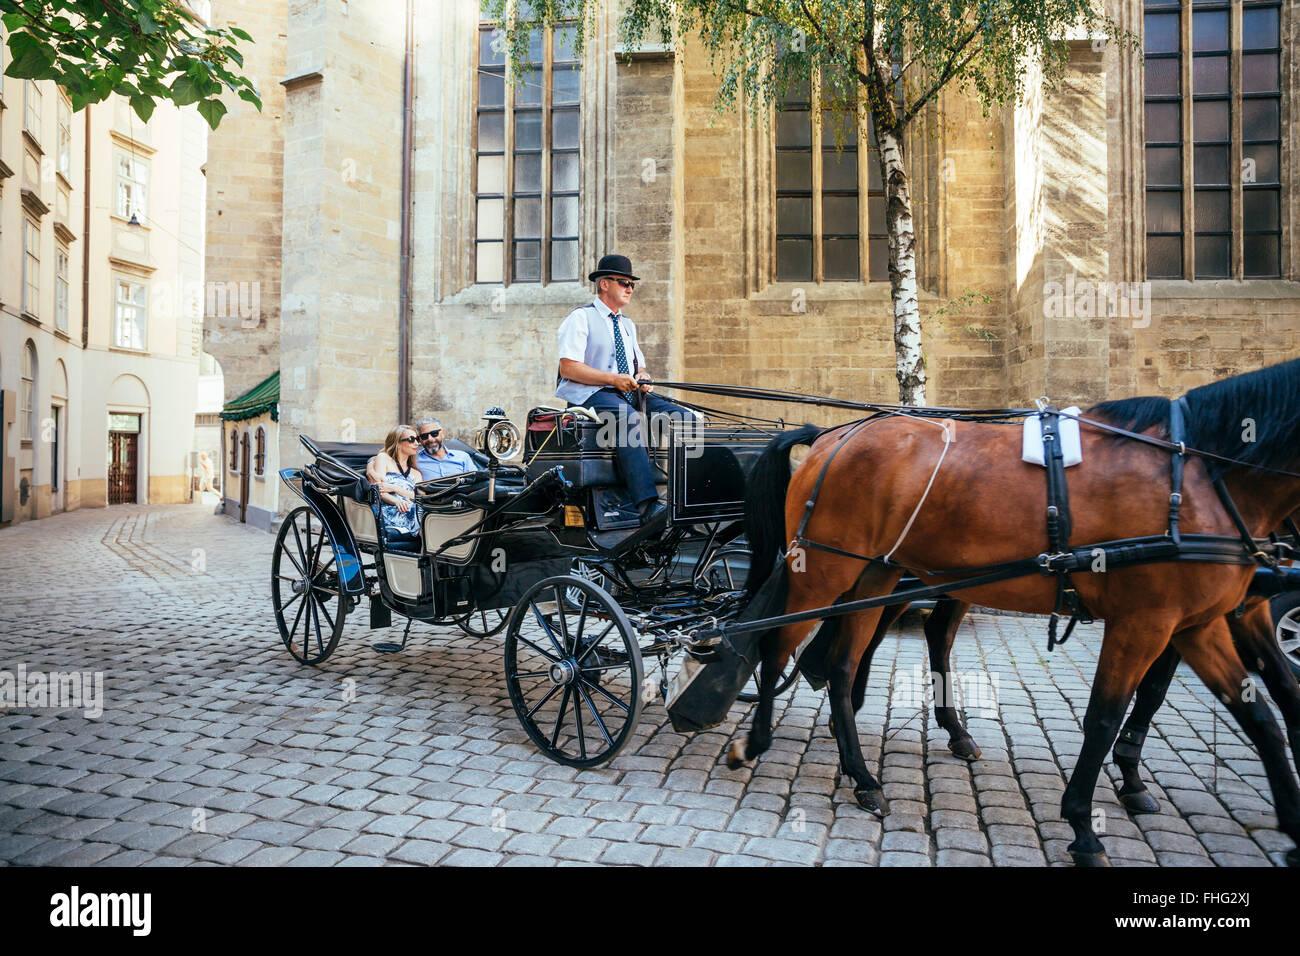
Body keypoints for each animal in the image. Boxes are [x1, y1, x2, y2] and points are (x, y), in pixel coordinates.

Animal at [738, 361, 1300, 868]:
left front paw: (1291, 823)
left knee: (845, 662)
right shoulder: (1147, 621)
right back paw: (758, 740)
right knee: (777, 644)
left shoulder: (1201, 622)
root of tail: (832, 435)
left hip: (877, 575)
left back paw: (863, 771)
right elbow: (1105, 716)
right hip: (823, 572)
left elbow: (1263, 712)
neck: (1199, 476)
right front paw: (1084, 826)